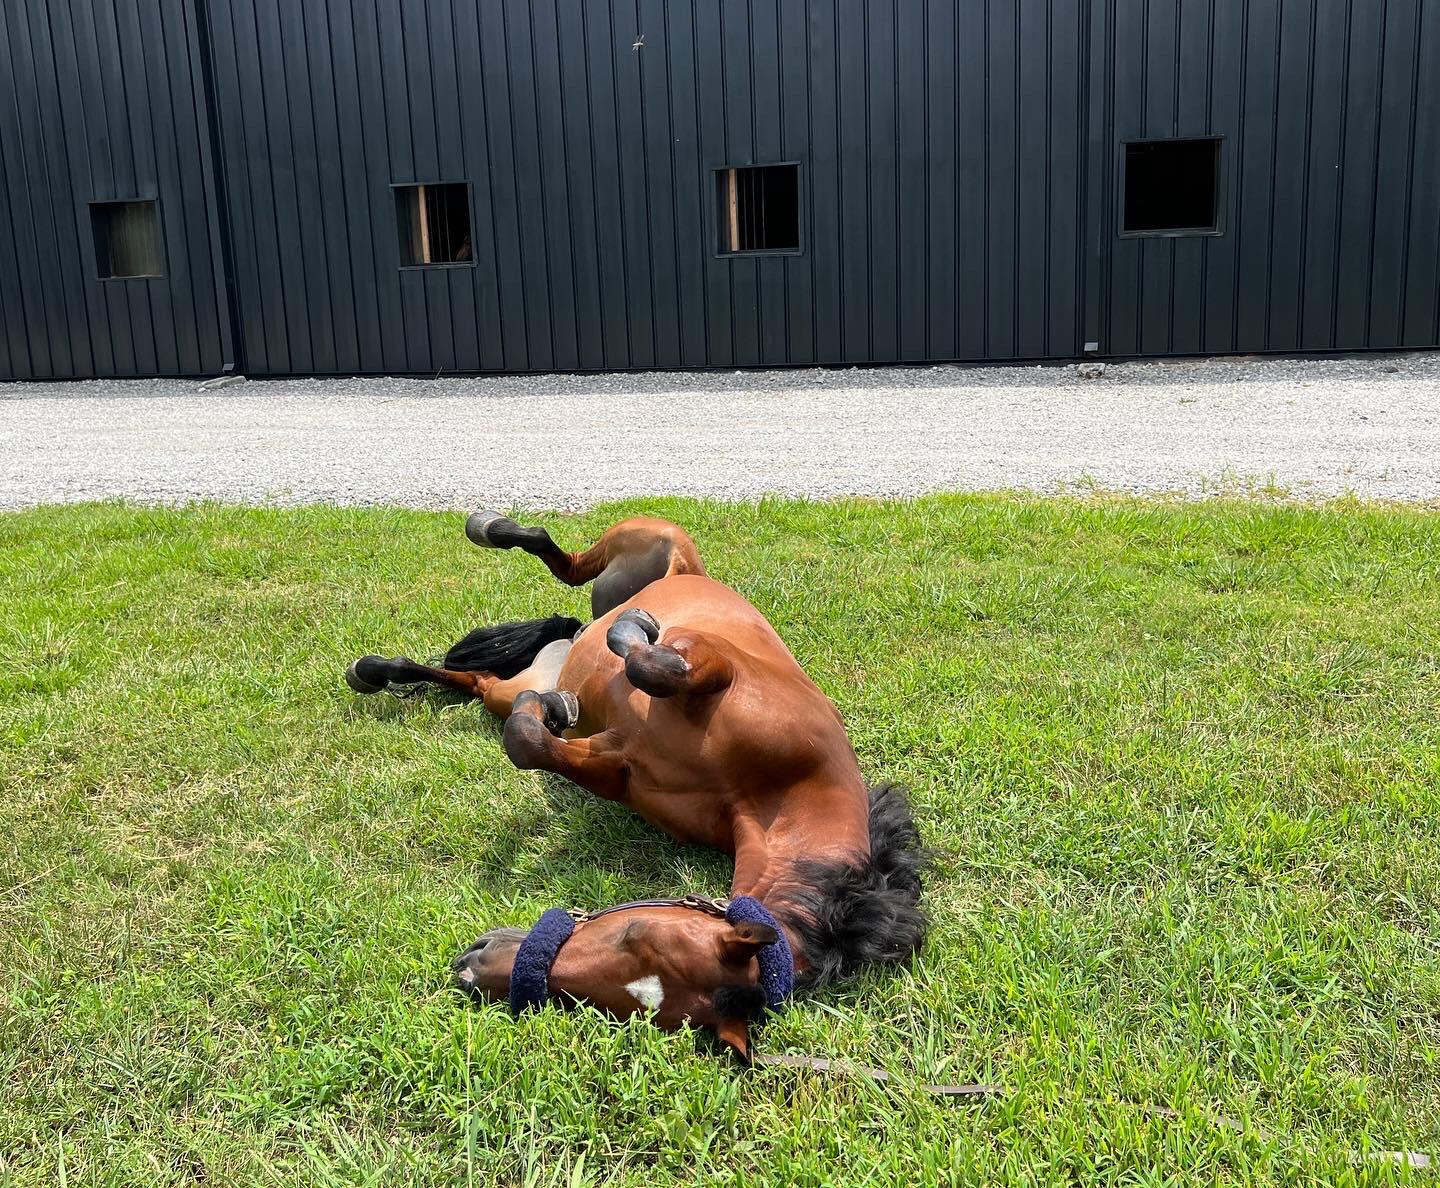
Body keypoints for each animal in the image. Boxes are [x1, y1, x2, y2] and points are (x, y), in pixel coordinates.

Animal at [345, 512, 926, 1060]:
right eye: (635, 933)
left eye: (626, 1008)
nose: (473, 964)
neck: (776, 796)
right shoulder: (713, 662)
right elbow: (655, 668)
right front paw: (632, 633)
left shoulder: (615, 760)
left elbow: (530, 742)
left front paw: (555, 710)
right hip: (647, 538)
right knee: (566, 562)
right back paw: (498, 543)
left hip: (513, 687)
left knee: (482, 681)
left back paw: (388, 670)